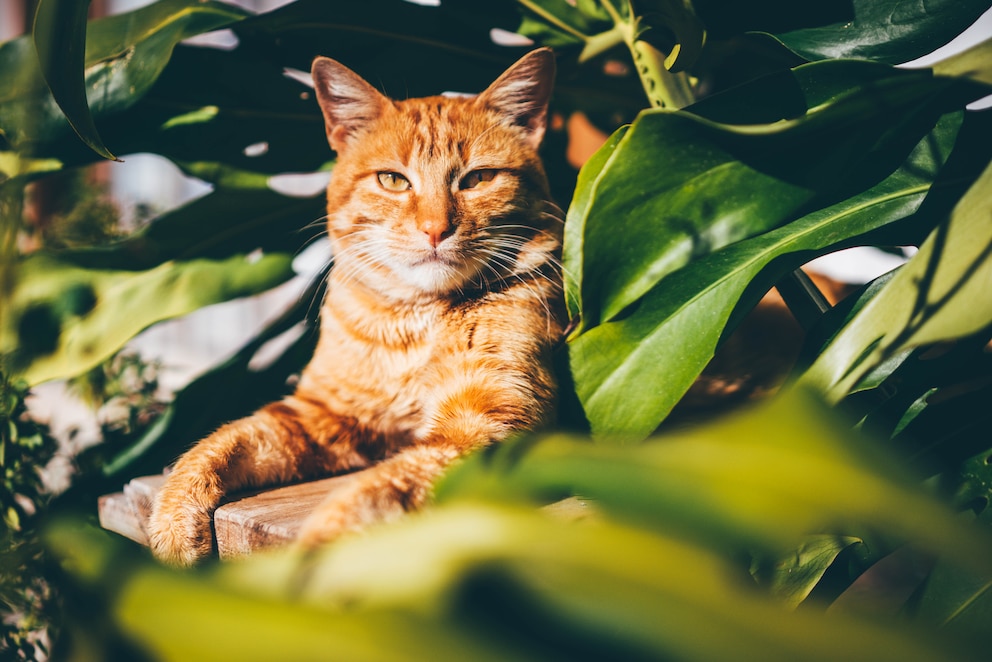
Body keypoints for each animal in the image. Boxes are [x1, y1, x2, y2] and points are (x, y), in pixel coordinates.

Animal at [148, 48, 564, 564]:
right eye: (393, 180)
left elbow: (384, 489)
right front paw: (174, 518)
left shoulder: (489, 424)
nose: (435, 229)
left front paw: (322, 550)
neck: (415, 323)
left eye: (478, 179)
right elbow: (225, 440)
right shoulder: (319, 416)